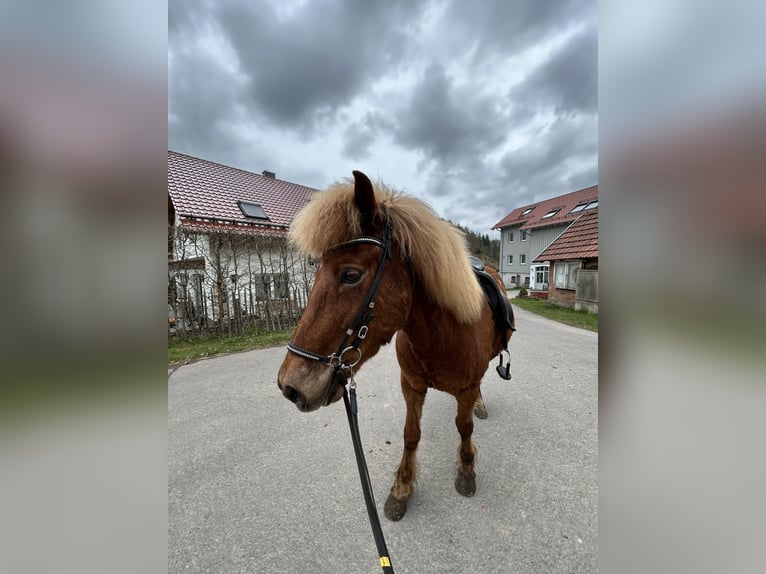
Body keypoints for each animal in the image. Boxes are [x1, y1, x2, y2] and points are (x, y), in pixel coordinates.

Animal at [277, 170, 515, 521]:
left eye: (350, 274)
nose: (290, 386)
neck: (441, 337)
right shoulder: (411, 386)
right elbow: (411, 434)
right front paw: (402, 489)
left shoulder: (467, 387)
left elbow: (464, 426)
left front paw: (467, 470)